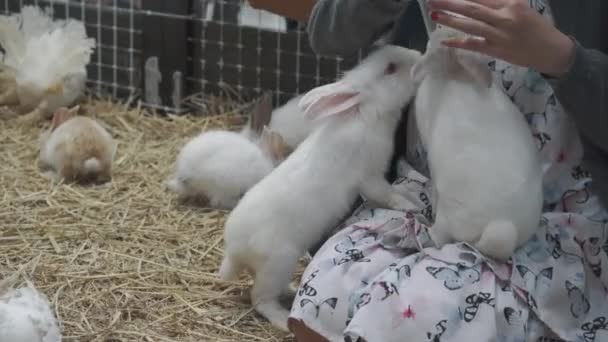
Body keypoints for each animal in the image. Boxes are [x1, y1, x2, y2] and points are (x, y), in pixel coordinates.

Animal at [218, 44, 422, 332]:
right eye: (391, 68)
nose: (419, 55)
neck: (367, 115)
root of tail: (235, 250)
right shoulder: (369, 178)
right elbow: (386, 194)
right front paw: (410, 205)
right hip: (279, 263)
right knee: (259, 299)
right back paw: (282, 319)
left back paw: (291, 290)